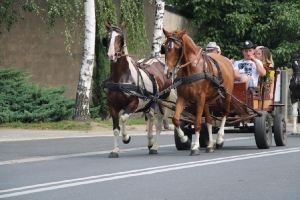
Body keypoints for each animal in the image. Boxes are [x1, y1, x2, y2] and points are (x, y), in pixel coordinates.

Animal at [101, 22, 176, 158]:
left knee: (159, 123)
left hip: (161, 101)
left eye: (120, 37)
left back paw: (155, 146)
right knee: (150, 116)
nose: (111, 55)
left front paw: (126, 137)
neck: (120, 77)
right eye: (107, 37)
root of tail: (160, 63)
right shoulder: (112, 106)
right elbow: (115, 129)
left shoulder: (134, 104)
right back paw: (150, 142)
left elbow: (124, 117)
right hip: (149, 102)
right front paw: (115, 150)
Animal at [162, 27, 234, 155]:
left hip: (226, 95)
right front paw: (184, 138)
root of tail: (227, 61)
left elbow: (197, 123)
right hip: (207, 100)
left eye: (177, 49)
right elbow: (176, 119)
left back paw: (219, 139)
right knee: (209, 120)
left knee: (225, 113)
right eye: (164, 48)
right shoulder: (183, 97)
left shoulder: (200, 98)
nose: (167, 73)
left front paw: (195, 147)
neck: (192, 67)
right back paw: (210, 145)